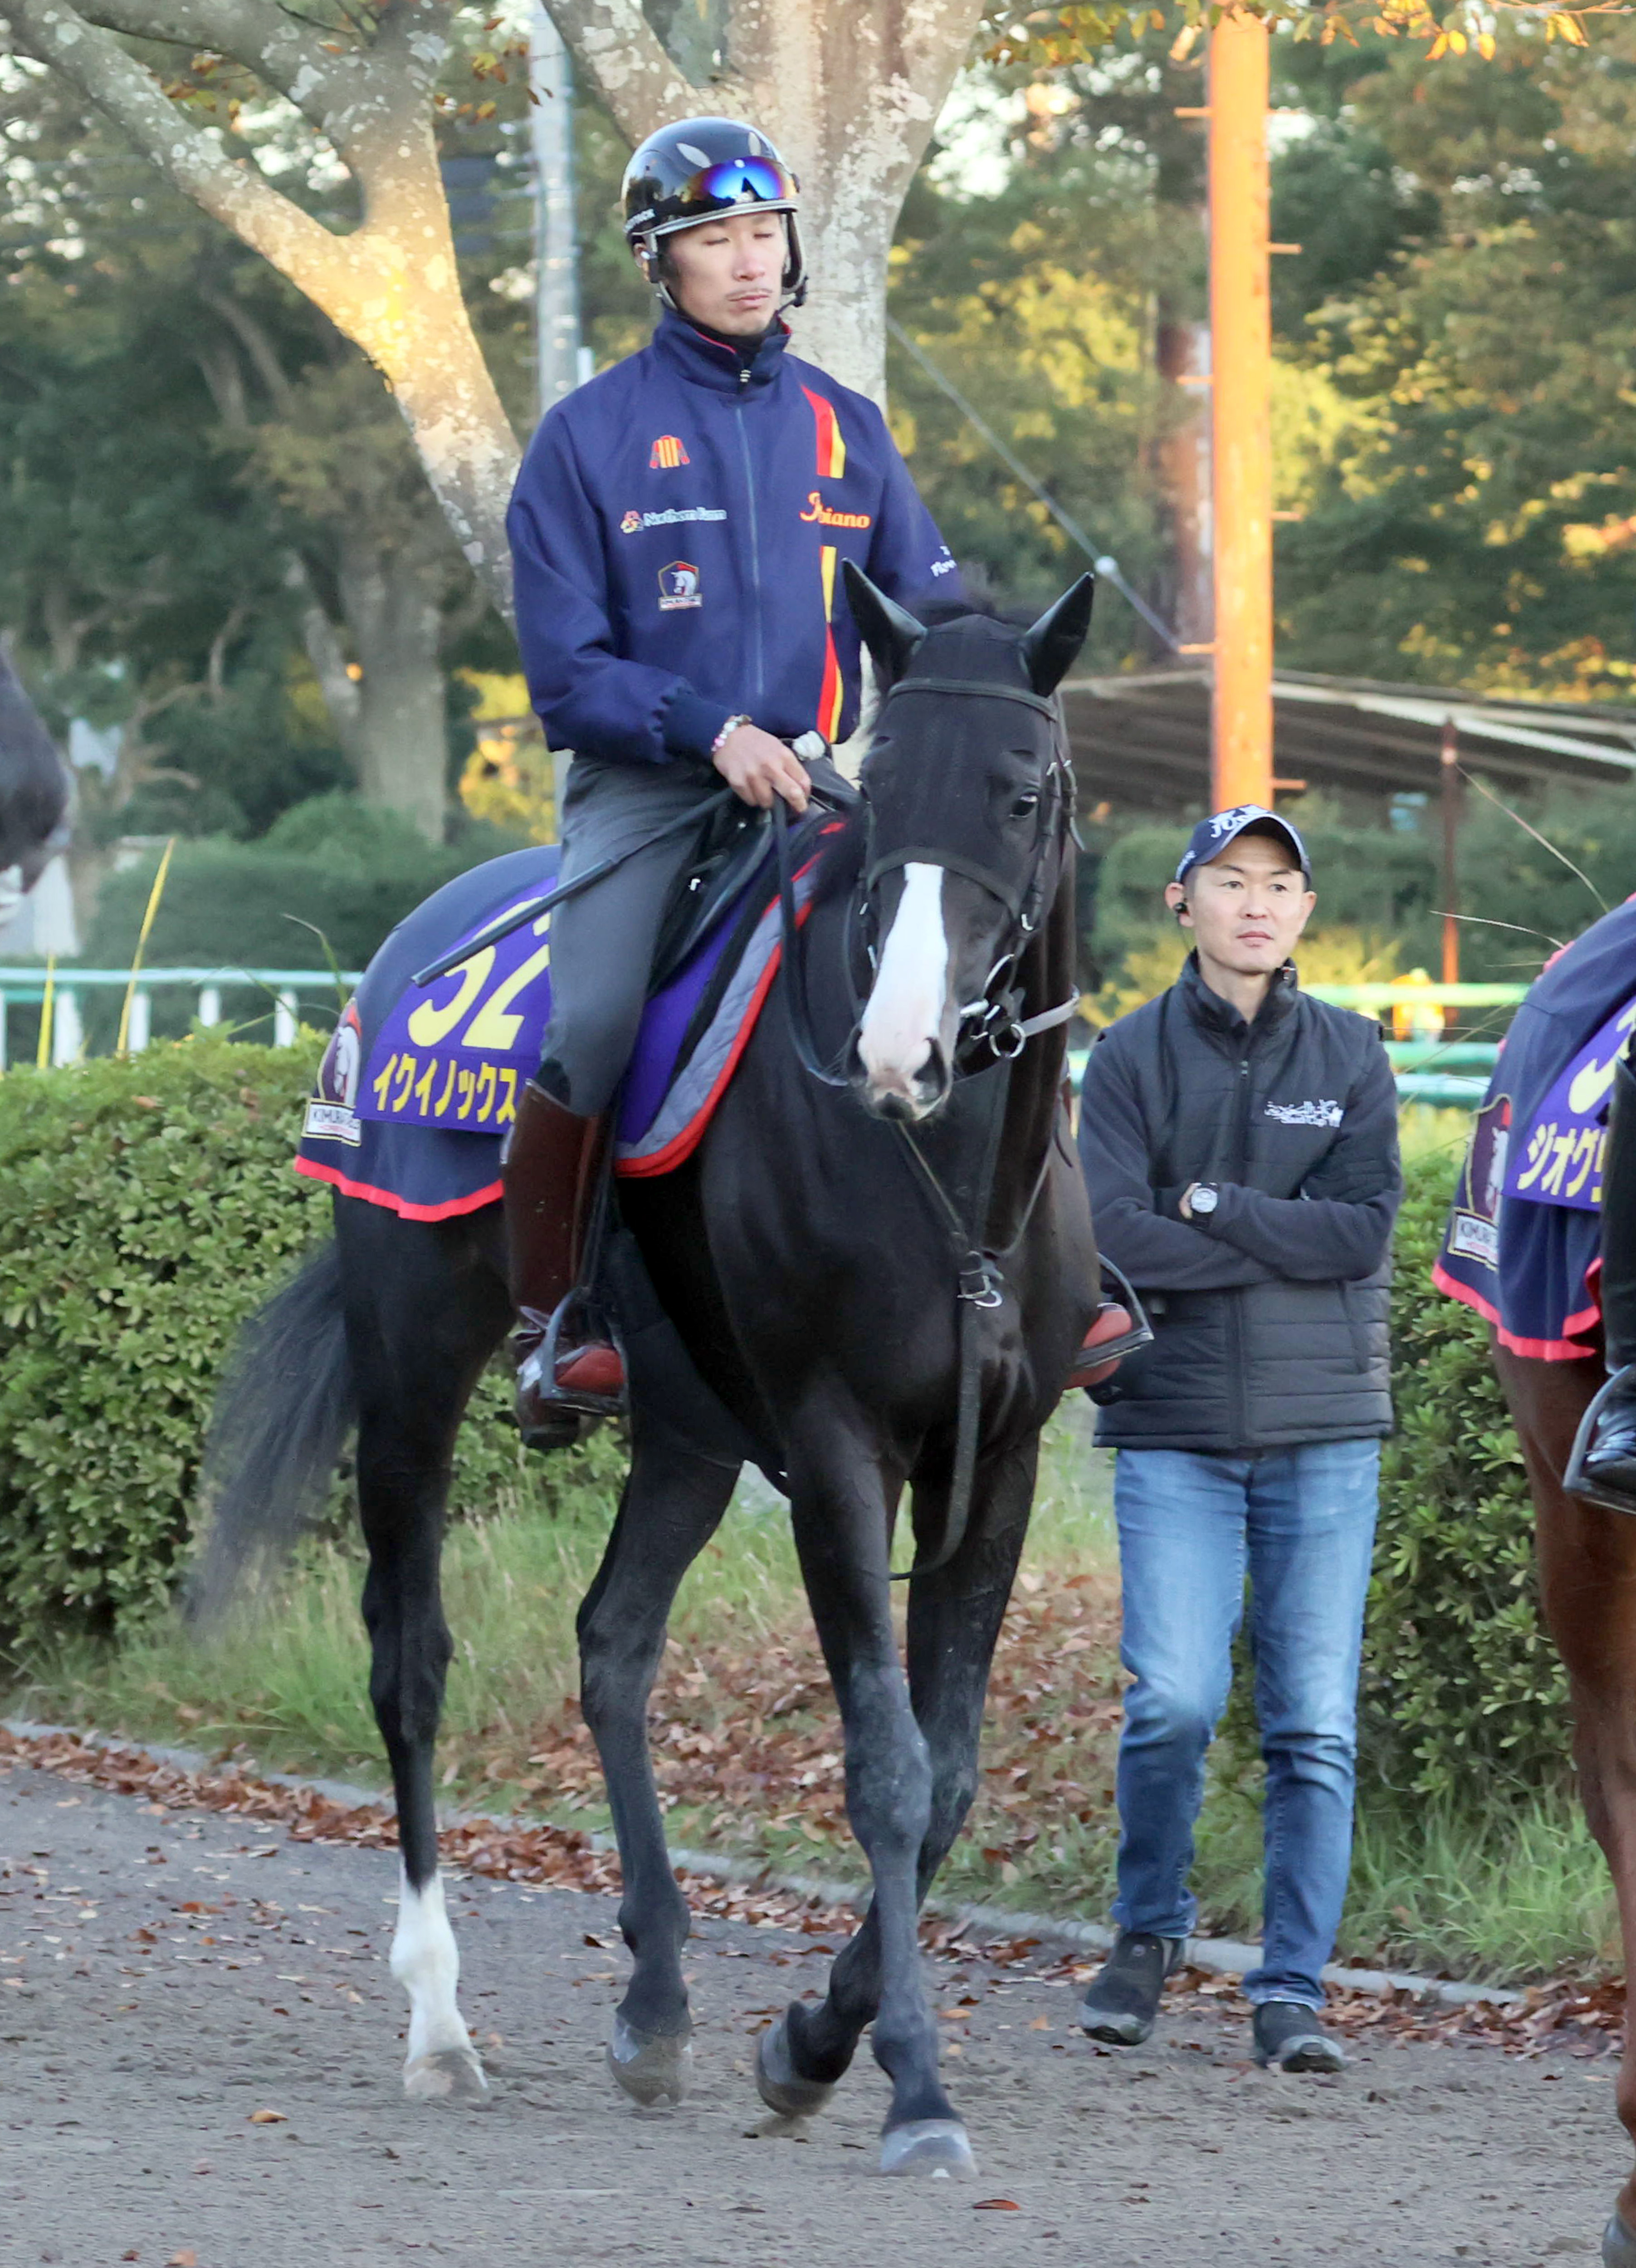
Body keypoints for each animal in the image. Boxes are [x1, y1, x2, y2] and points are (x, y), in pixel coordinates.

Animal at [200, 571, 1096, 2177]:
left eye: (1015, 794)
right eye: (875, 795)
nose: (899, 1050)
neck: (939, 1175)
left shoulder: (996, 1457)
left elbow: (947, 1777)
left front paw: (809, 2036)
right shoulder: (837, 1442)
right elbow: (885, 1765)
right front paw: (909, 2084)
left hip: (688, 1428)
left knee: (612, 1642)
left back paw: (659, 1993)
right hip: (414, 1363)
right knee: (408, 1660)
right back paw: (439, 2022)